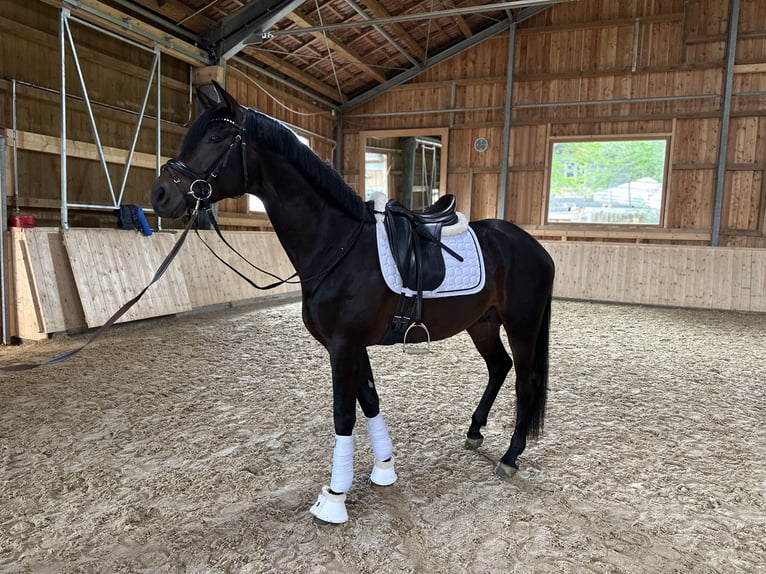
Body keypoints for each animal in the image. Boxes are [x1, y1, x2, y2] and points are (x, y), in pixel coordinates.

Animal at [152, 82, 560, 528]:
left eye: (214, 138)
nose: (160, 194)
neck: (338, 244)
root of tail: (533, 246)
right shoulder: (352, 345)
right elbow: (370, 401)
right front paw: (383, 468)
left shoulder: (344, 345)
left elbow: (344, 414)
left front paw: (334, 497)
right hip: (482, 322)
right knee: (499, 367)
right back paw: (475, 432)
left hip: (522, 325)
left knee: (525, 381)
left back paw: (510, 455)